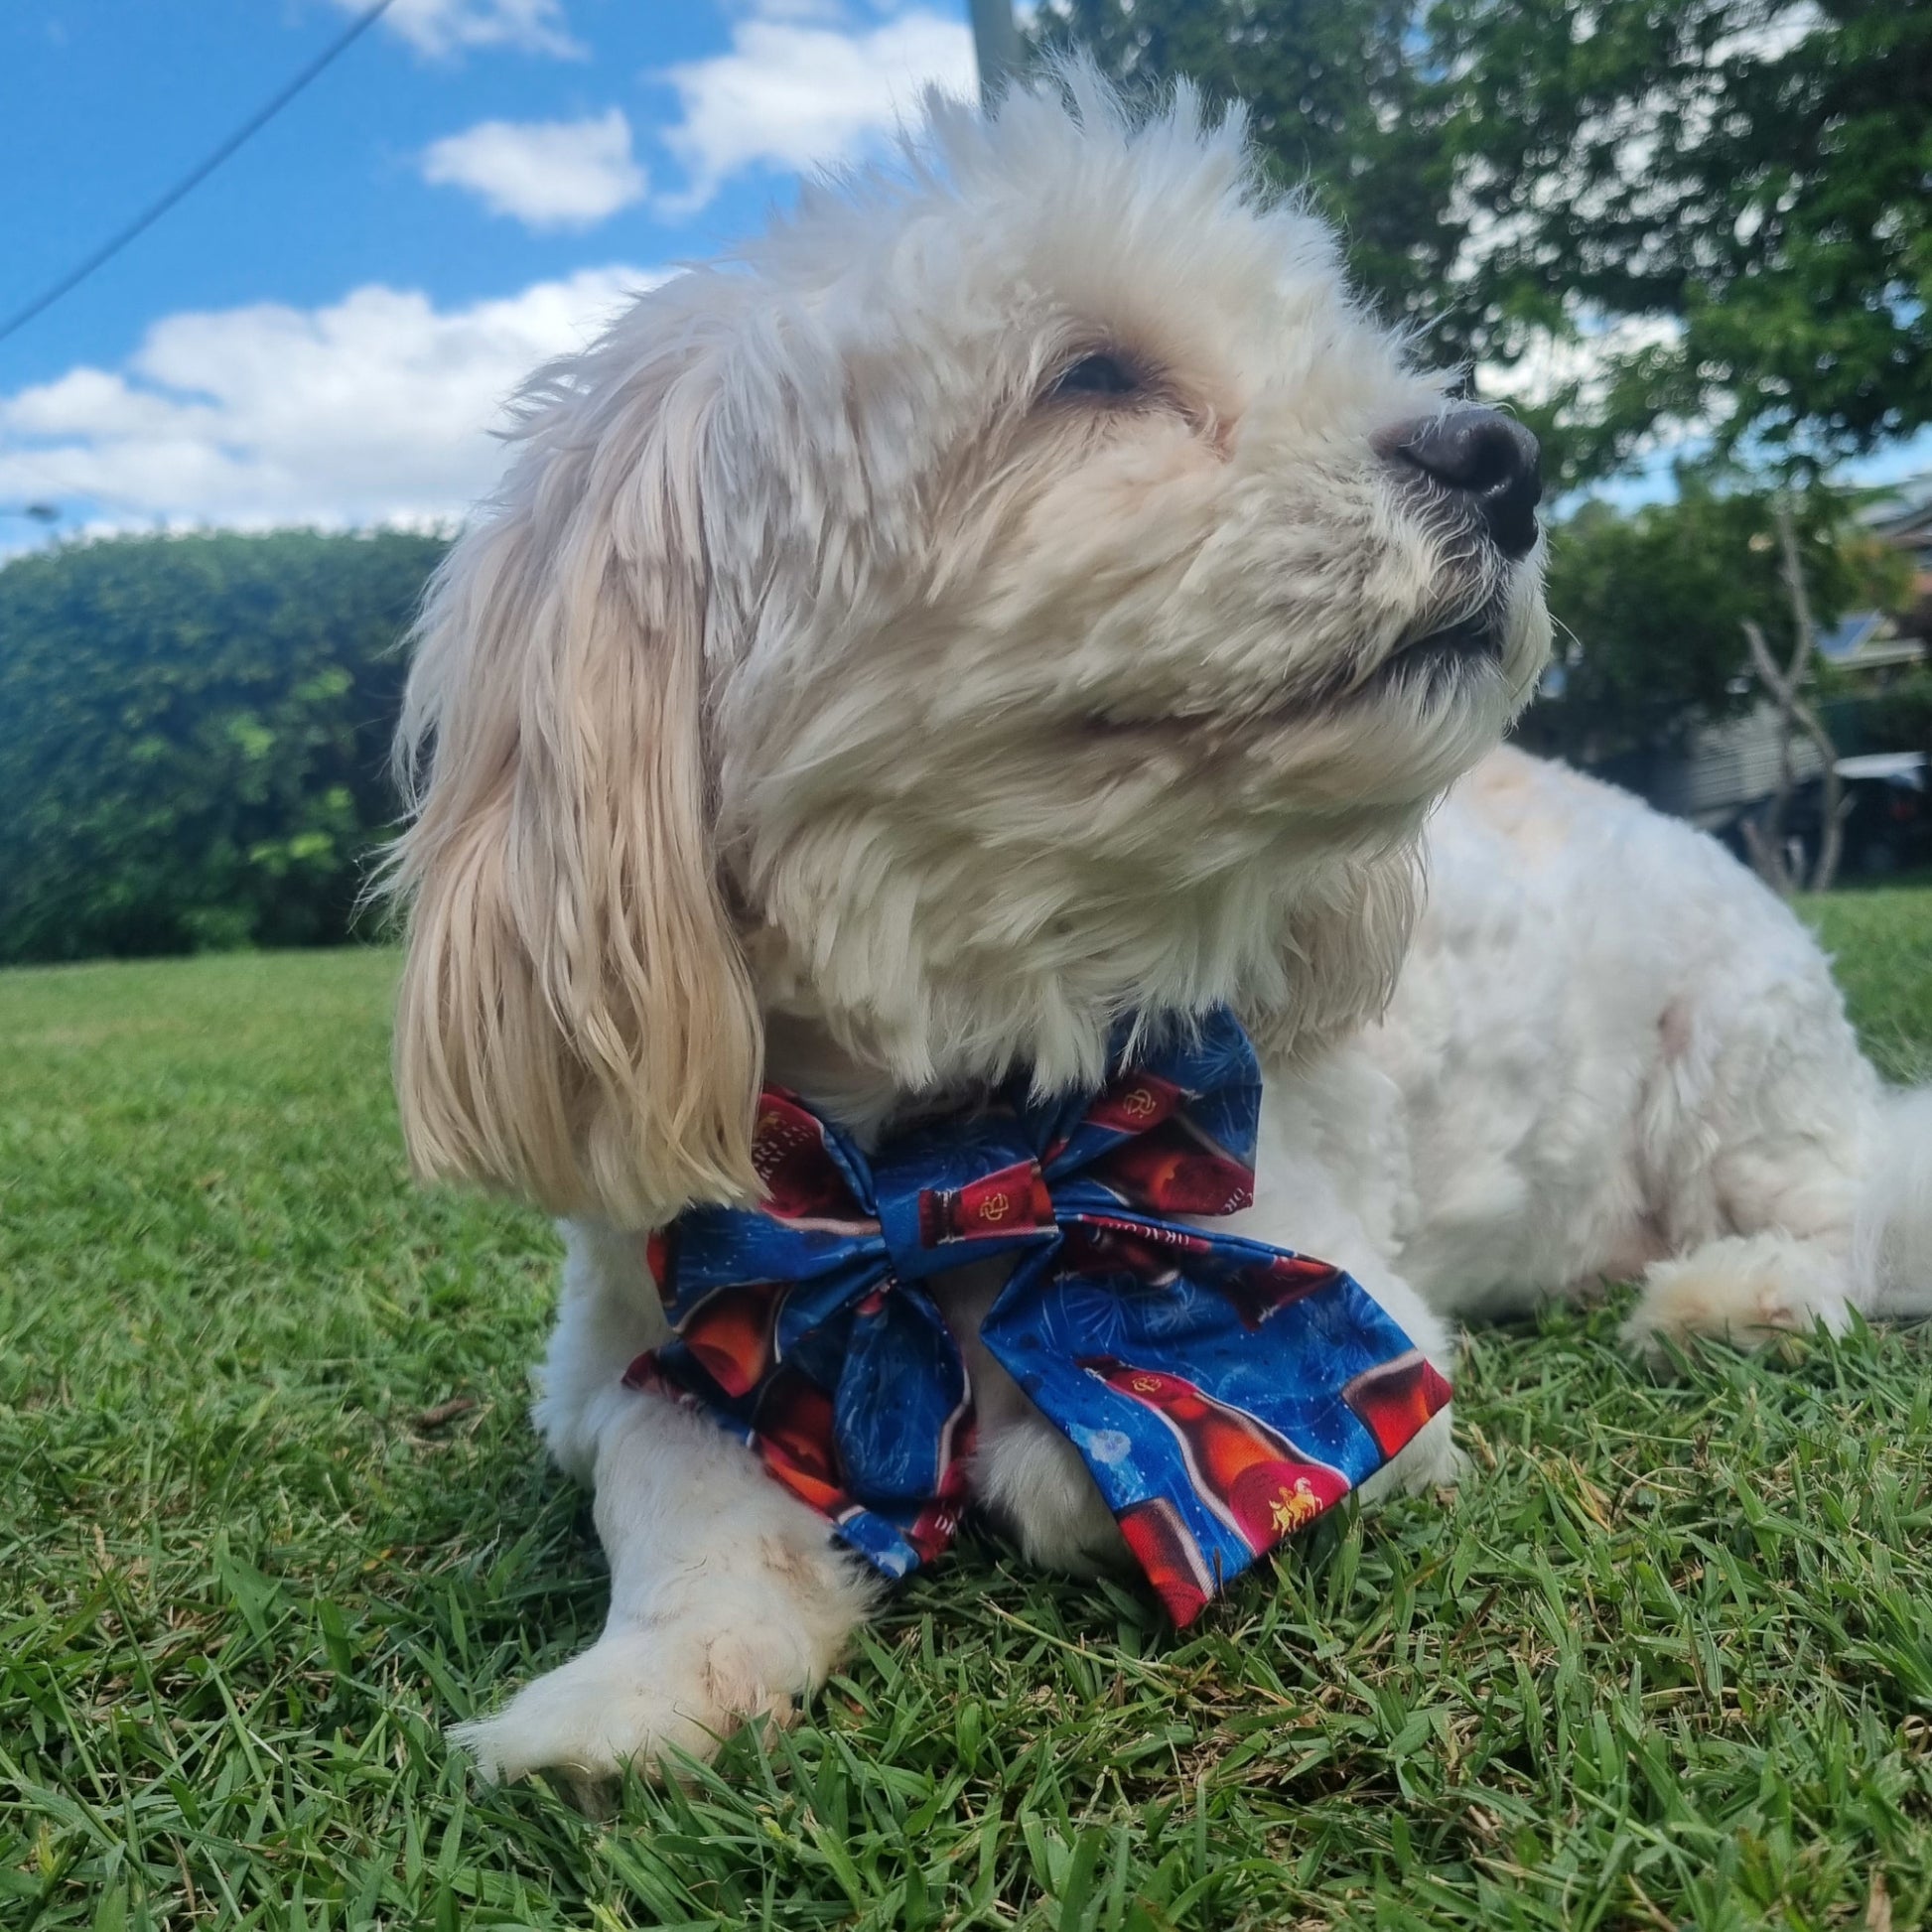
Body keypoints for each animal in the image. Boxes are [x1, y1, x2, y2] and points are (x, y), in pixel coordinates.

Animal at [384, 78, 1932, 1792]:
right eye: (1093, 377)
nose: (1503, 454)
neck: (955, 1132)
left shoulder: (1346, 1325)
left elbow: (1093, 1447)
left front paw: (1007, 1449)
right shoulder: (656, 1317)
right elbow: (662, 1475)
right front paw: (626, 1696)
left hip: (1733, 1064)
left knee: (1862, 1209)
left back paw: (1738, 1296)